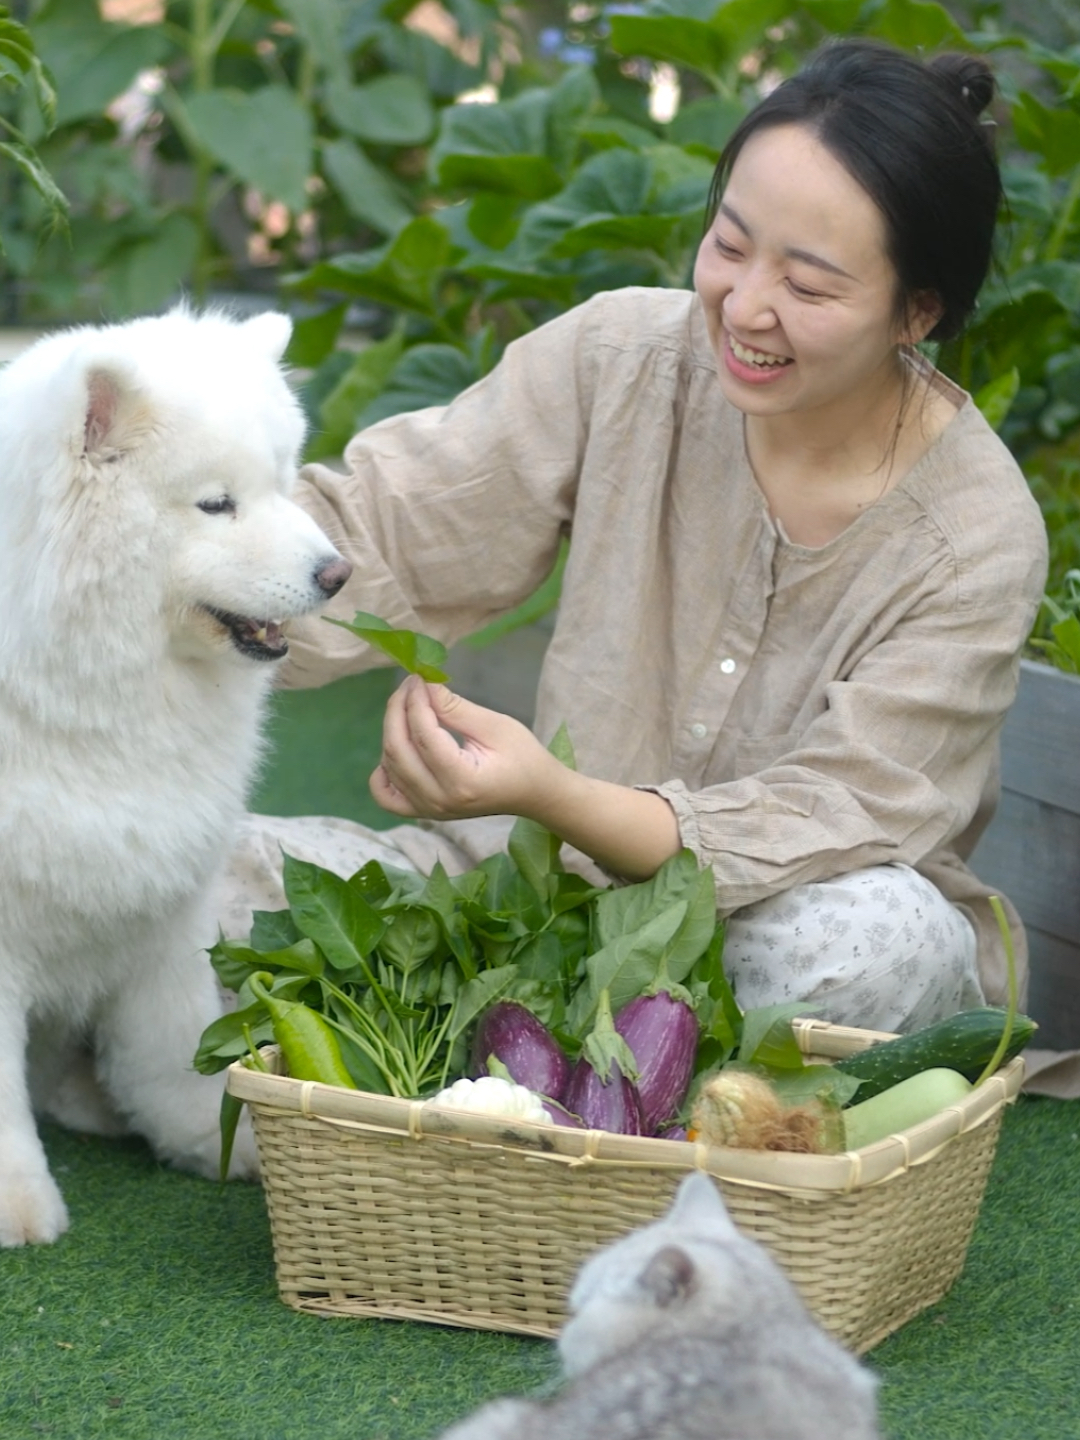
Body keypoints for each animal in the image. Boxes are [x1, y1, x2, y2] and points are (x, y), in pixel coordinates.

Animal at [0, 309, 351, 1244]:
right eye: (215, 503)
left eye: (282, 484)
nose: (337, 573)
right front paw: (18, 1203)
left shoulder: (163, 901)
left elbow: (176, 1038)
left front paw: (215, 1139)